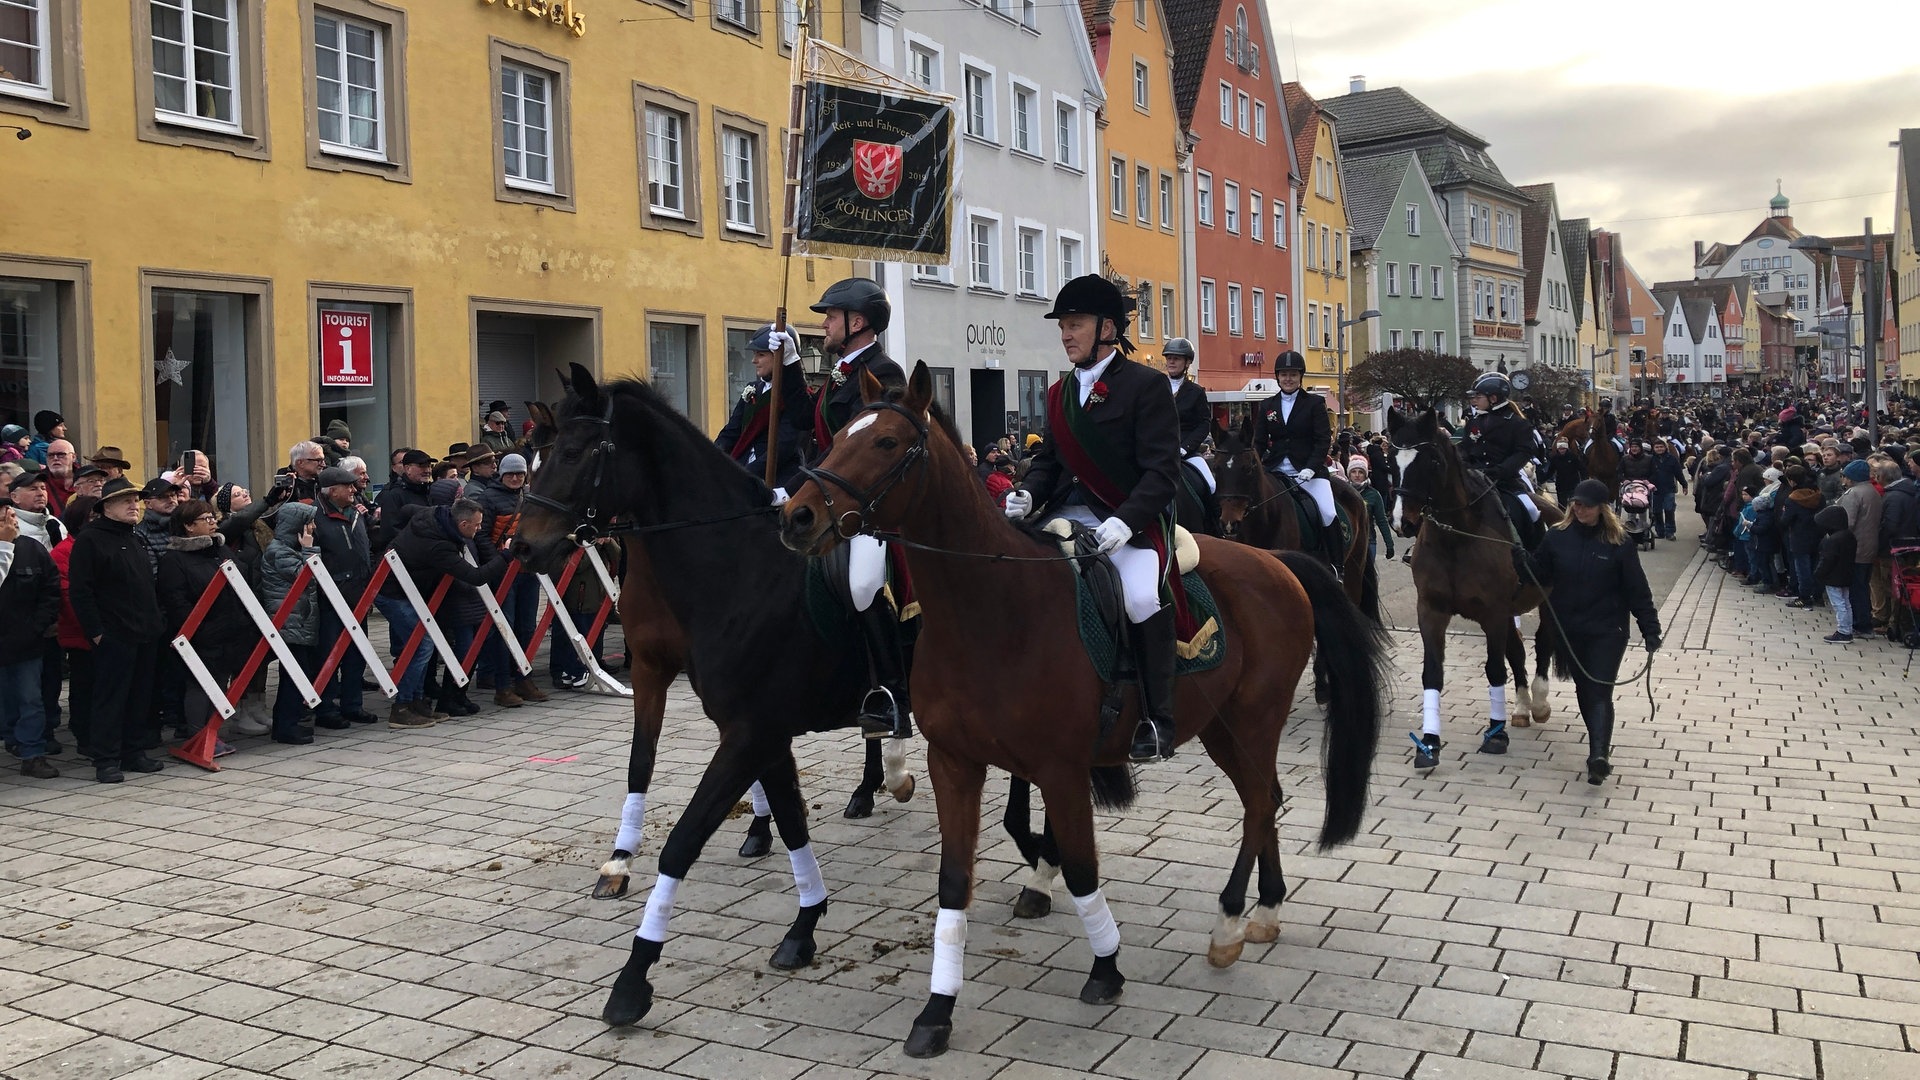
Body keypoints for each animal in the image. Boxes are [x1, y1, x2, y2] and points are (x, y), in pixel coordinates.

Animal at [783, 365, 1397, 1053]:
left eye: (886, 443)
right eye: (838, 436)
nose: (796, 514)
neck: (990, 606)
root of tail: (1275, 563)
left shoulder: (1060, 769)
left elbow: (1080, 869)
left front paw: (1105, 966)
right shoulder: (955, 763)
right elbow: (954, 880)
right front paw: (937, 1010)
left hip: (1252, 719)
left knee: (1262, 802)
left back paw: (1230, 923)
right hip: (1221, 727)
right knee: (1265, 799)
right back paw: (1266, 909)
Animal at [1397, 403, 1559, 764]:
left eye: (1432, 461)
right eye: (1393, 459)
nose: (1404, 521)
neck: (1456, 537)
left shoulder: (1493, 613)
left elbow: (1495, 669)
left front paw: (1496, 735)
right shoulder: (1431, 610)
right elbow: (1432, 672)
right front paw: (1429, 742)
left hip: (1546, 601)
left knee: (1543, 642)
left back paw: (1539, 702)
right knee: (1518, 651)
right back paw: (1522, 706)